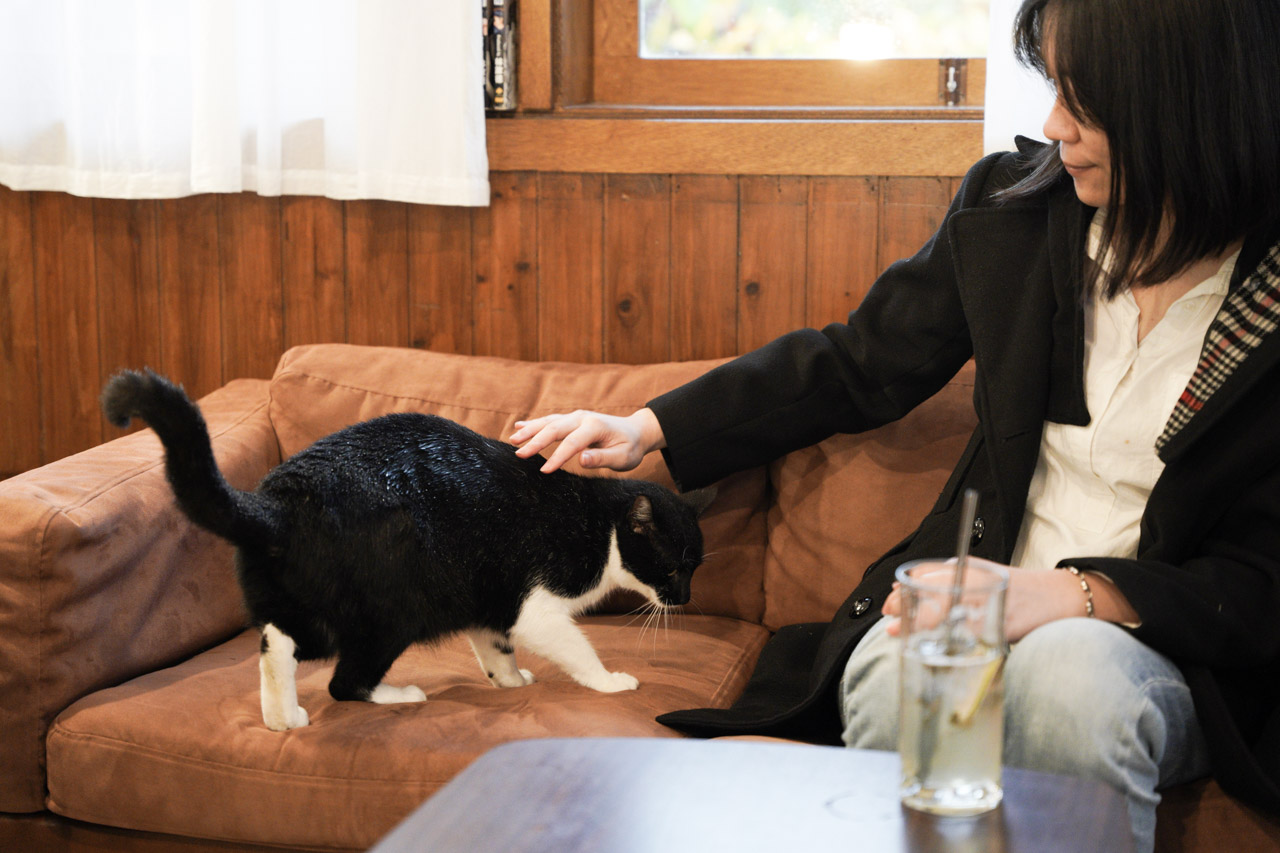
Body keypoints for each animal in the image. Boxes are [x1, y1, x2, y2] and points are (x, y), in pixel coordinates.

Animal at [102, 368, 711, 727]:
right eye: (674, 567)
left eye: (694, 569)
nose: (683, 599)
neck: (597, 522)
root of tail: (276, 506)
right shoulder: (536, 603)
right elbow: (571, 648)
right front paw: (611, 682)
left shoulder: (487, 601)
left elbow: (496, 649)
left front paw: (510, 681)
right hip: (391, 611)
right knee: (342, 681)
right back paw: (400, 695)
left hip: (304, 601)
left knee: (276, 641)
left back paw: (283, 717)